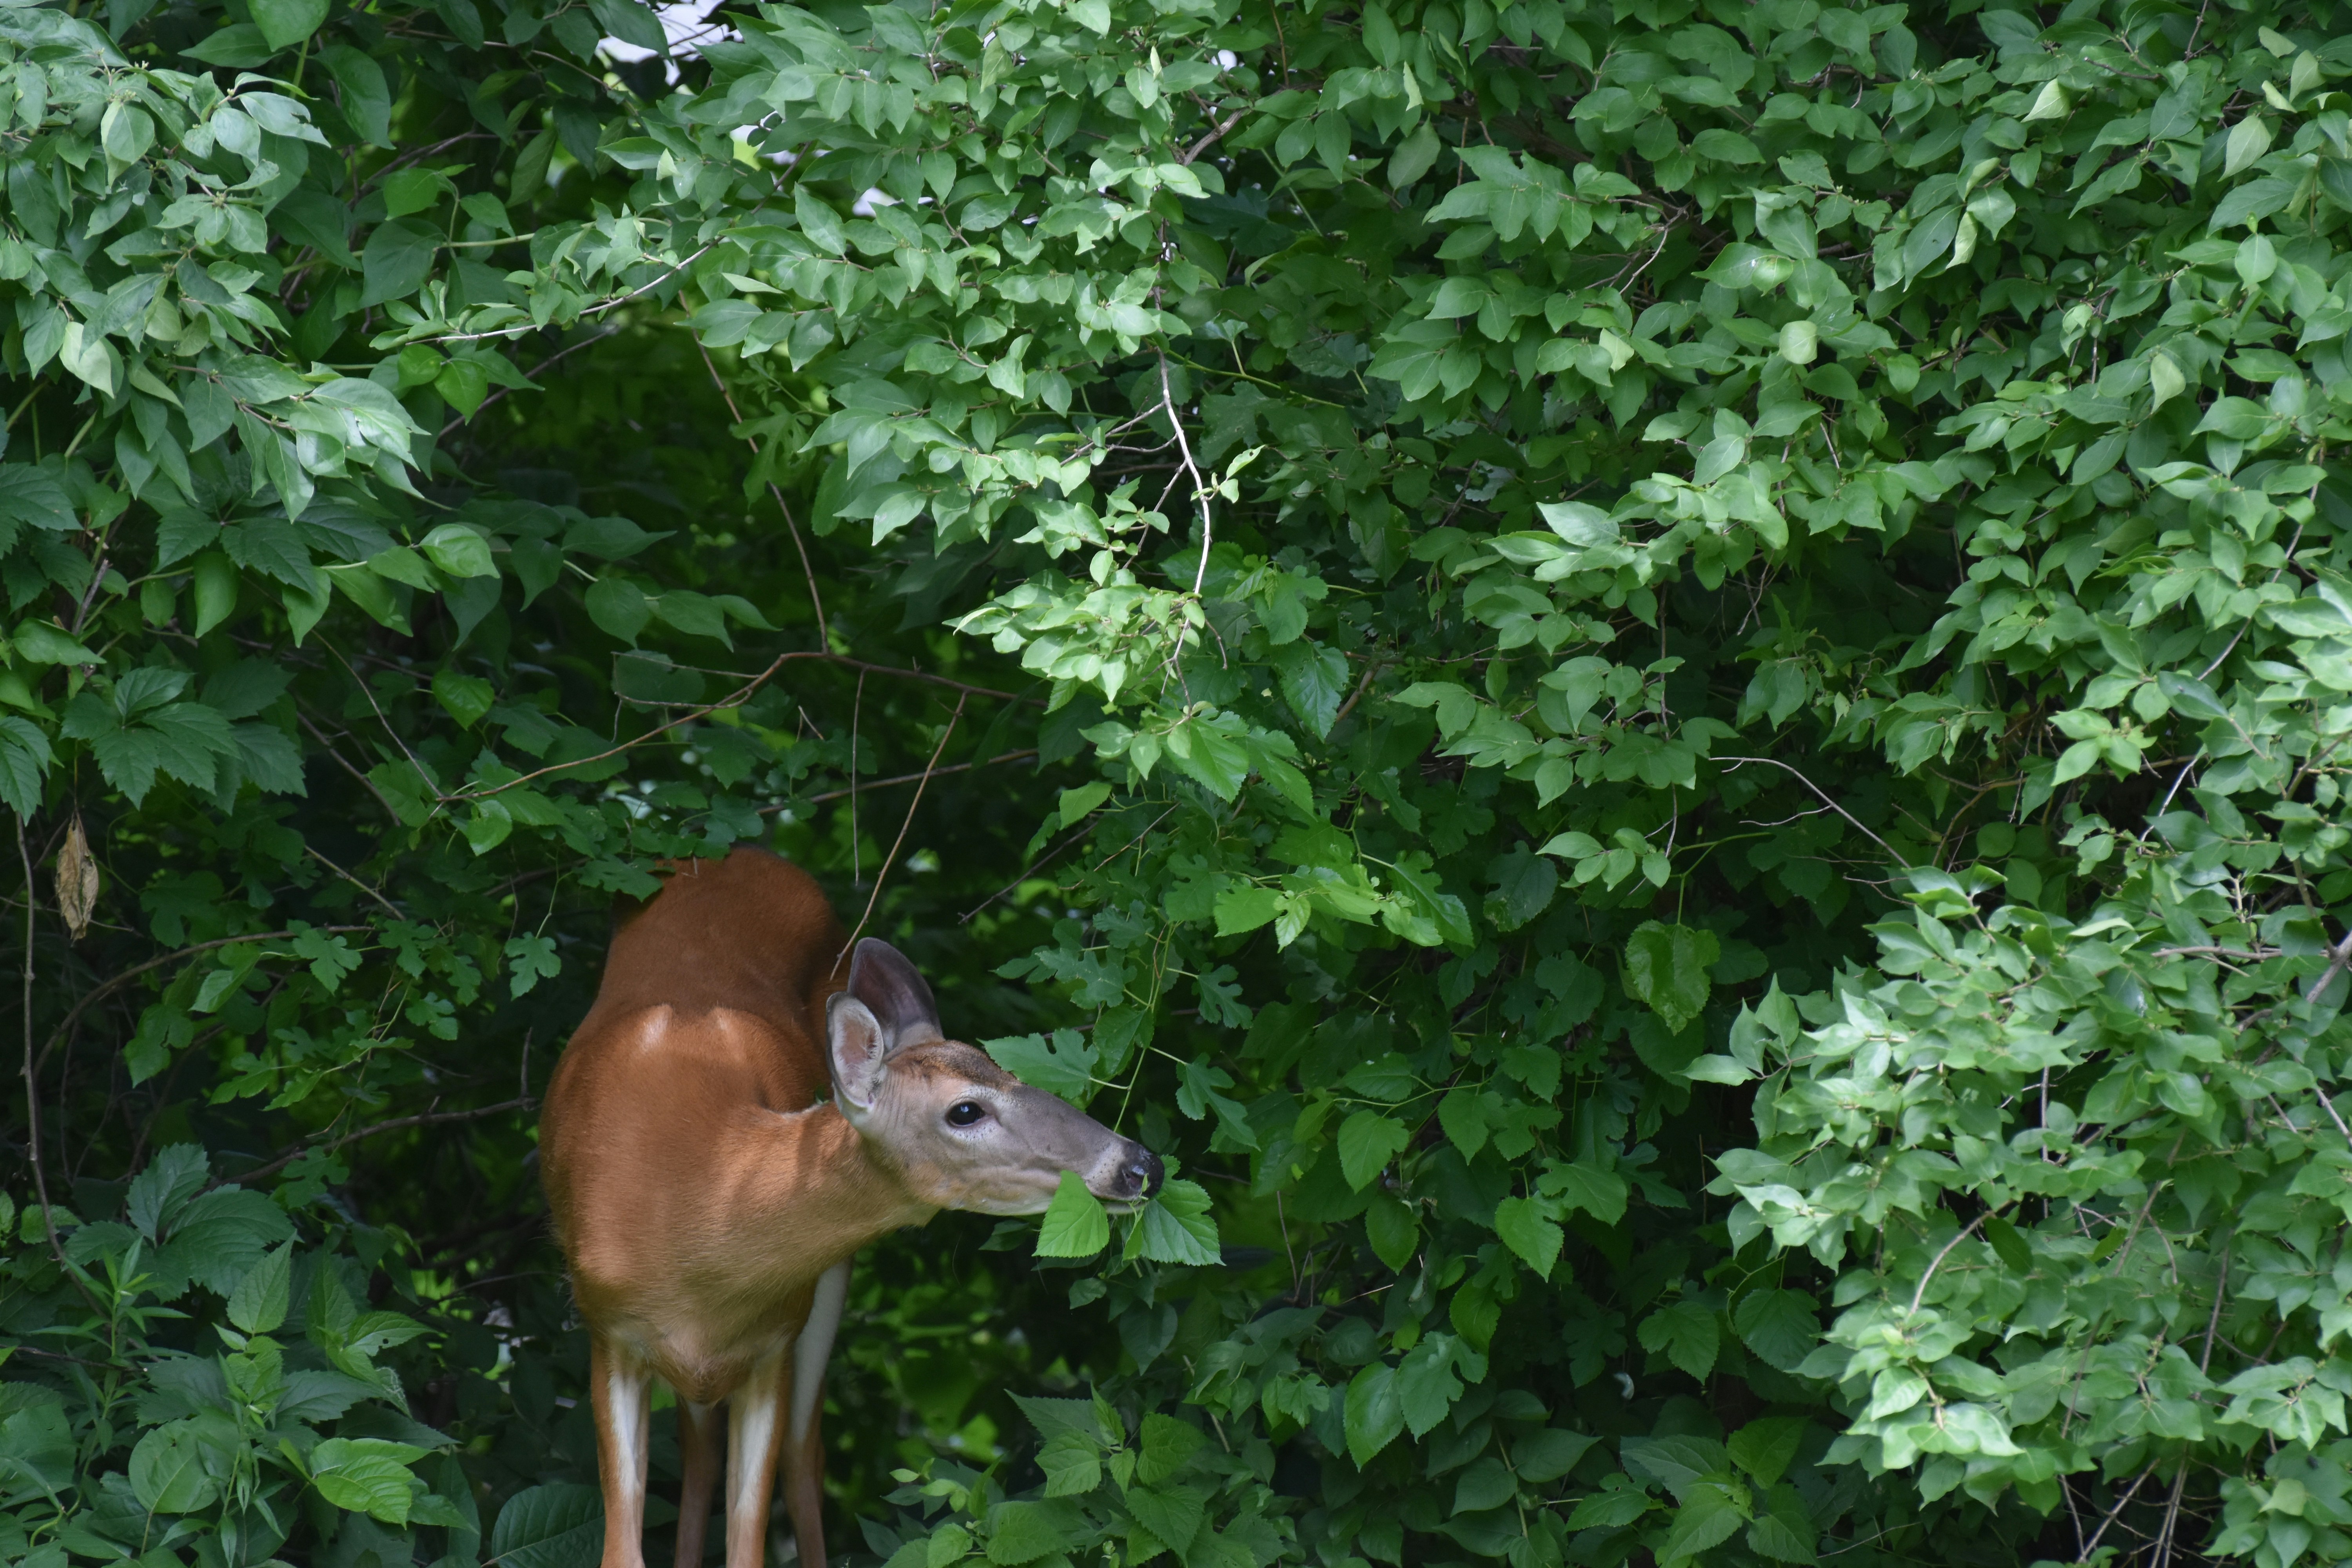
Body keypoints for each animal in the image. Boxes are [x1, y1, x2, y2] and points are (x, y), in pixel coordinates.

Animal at [540, 847, 1163, 1568]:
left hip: (828, 1287)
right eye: (966, 1110)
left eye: (1014, 1073)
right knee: (704, 1449)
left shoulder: (776, 1336)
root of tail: (741, 852)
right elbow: (624, 1548)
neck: (697, 1195)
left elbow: (752, 1541)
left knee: (801, 1458)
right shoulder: (608, 1332)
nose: (1140, 1165)